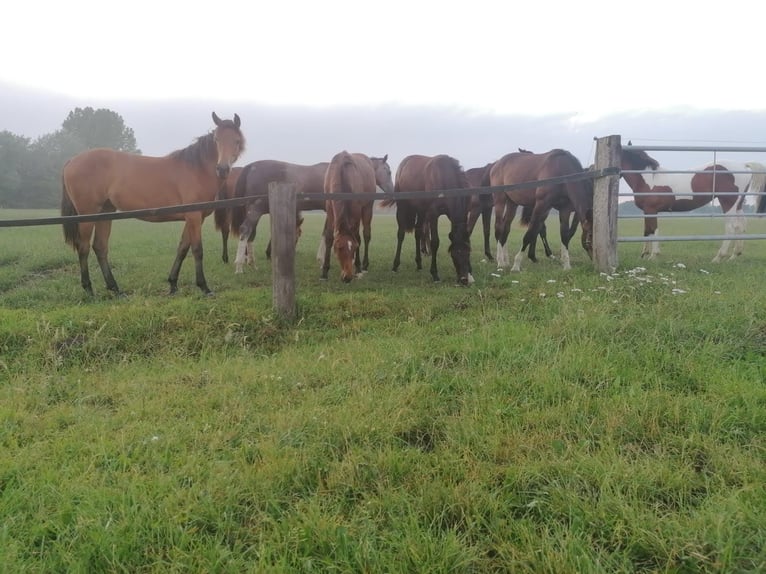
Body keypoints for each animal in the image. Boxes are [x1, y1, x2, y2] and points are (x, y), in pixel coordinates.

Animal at [61, 112, 245, 296]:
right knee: (83, 247)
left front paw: (173, 284)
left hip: (105, 212)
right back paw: (89, 289)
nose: (222, 169)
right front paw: (204, 287)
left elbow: (182, 249)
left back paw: (115, 289)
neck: (197, 169)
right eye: (217, 139)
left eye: (236, 140)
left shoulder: (192, 218)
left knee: (100, 247)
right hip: (87, 215)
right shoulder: (194, 216)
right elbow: (197, 250)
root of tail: (72, 160)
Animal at [320, 151, 391, 282]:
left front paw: (357, 267)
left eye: (354, 248)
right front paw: (325, 271)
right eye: (339, 248)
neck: (342, 171)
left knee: (366, 235)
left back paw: (364, 265)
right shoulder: (330, 209)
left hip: (367, 208)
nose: (347, 277)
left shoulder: (357, 210)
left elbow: (357, 237)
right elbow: (329, 238)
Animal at [382, 154, 473, 285]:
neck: (445, 176)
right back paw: (395, 265)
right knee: (401, 234)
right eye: (454, 254)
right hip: (402, 207)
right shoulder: (433, 214)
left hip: (421, 211)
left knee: (418, 232)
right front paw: (435, 274)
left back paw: (419, 264)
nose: (464, 279)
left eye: (468, 253)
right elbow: (435, 242)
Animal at [620, 146, 766, 261]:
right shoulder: (647, 211)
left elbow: (654, 231)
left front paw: (653, 256)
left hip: (728, 203)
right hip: (738, 205)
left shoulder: (651, 210)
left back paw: (718, 257)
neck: (649, 179)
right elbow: (647, 231)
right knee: (741, 225)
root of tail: (743, 165)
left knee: (731, 227)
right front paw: (644, 254)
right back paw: (734, 255)